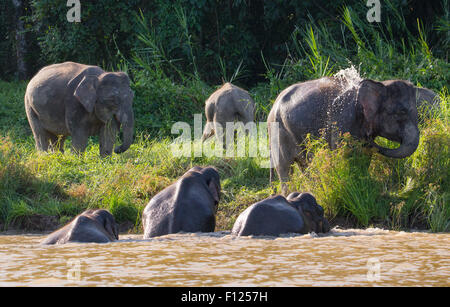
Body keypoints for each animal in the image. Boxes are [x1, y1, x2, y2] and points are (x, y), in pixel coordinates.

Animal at [268, 76, 420, 195]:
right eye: (401, 112)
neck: (379, 84)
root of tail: (273, 106)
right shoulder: (343, 119)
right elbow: (344, 155)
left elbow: (364, 157)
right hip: (279, 132)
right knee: (285, 169)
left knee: (304, 166)